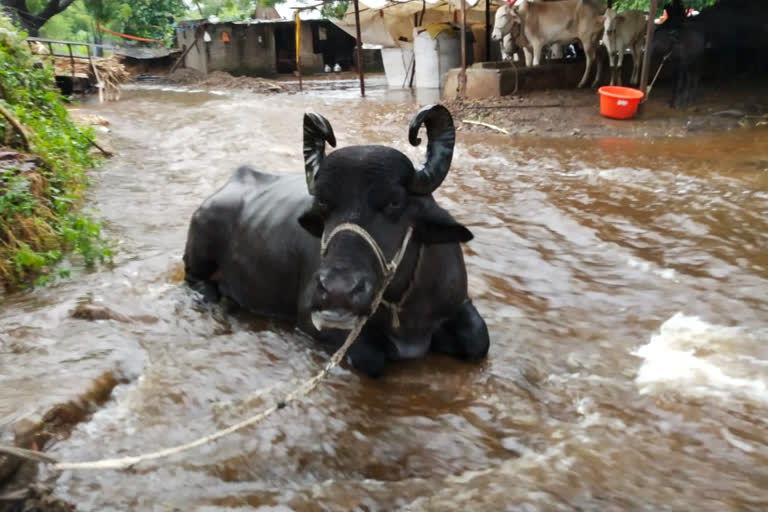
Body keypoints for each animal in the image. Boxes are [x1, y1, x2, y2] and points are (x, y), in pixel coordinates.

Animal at [183, 105, 488, 376]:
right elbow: (370, 358)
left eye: (395, 202)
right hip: (198, 255)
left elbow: (479, 340)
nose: (338, 290)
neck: (403, 306)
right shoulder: (315, 320)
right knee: (195, 281)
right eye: (322, 203)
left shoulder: (458, 302)